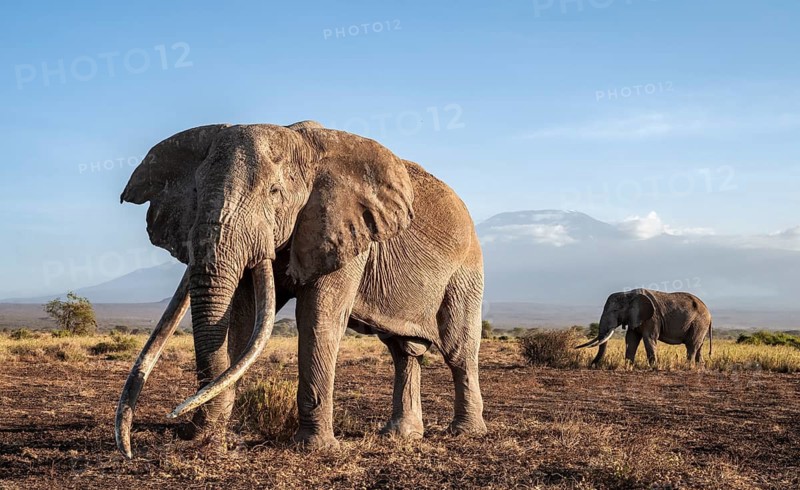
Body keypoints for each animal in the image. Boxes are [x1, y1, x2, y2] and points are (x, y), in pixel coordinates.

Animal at [114, 121, 487, 458]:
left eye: (274, 193)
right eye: (194, 194)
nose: (181, 422)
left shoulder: (344, 230)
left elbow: (317, 318)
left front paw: (315, 449)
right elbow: (243, 317)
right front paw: (213, 434)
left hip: (466, 270)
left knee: (458, 349)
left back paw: (464, 433)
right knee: (404, 351)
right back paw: (400, 436)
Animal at [576, 289, 712, 367]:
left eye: (615, 311)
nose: (591, 365)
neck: (628, 294)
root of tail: (709, 313)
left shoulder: (652, 317)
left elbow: (649, 338)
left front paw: (653, 367)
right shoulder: (634, 317)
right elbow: (631, 339)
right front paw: (628, 366)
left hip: (699, 322)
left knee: (691, 345)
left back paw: (688, 367)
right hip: (700, 325)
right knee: (699, 345)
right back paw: (700, 366)